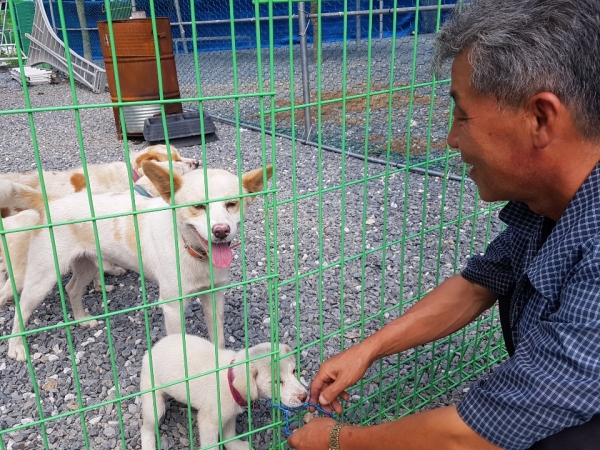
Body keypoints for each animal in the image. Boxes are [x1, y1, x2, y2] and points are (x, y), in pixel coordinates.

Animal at [1, 160, 274, 360]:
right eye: (198, 207)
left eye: (232, 204)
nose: (221, 231)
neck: (191, 251)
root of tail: (52, 202)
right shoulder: (172, 307)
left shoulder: (214, 295)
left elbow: (217, 335)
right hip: (43, 277)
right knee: (22, 308)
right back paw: (16, 347)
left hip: (87, 265)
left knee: (72, 289)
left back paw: (81, 319)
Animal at [141, 338, 310, 450]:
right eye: (276, 382)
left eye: (294, 371)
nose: (304, 396)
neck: (231, 382)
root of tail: (151, 350)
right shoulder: (208, 422)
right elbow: (212, 444)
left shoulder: (230, 416)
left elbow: (229, 435)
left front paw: (237, 446)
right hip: (153, 403)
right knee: (146, 428)